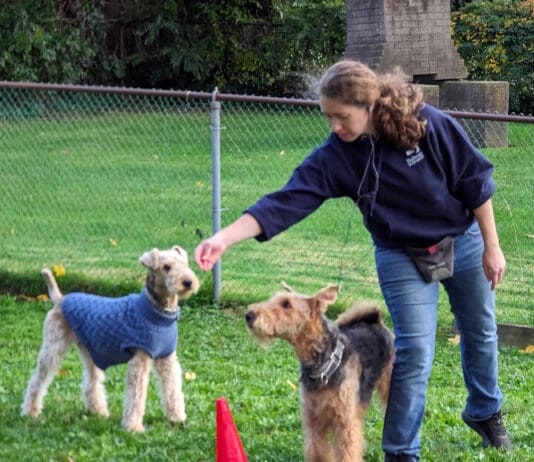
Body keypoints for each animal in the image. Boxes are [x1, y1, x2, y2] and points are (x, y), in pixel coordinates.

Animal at [246, 284, 394, 460]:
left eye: (287, 304)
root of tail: (375, 320)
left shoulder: (345, 424)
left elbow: (348, 454)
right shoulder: (313, 419)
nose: (249, 315)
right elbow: (317, 450)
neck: (324, 364)